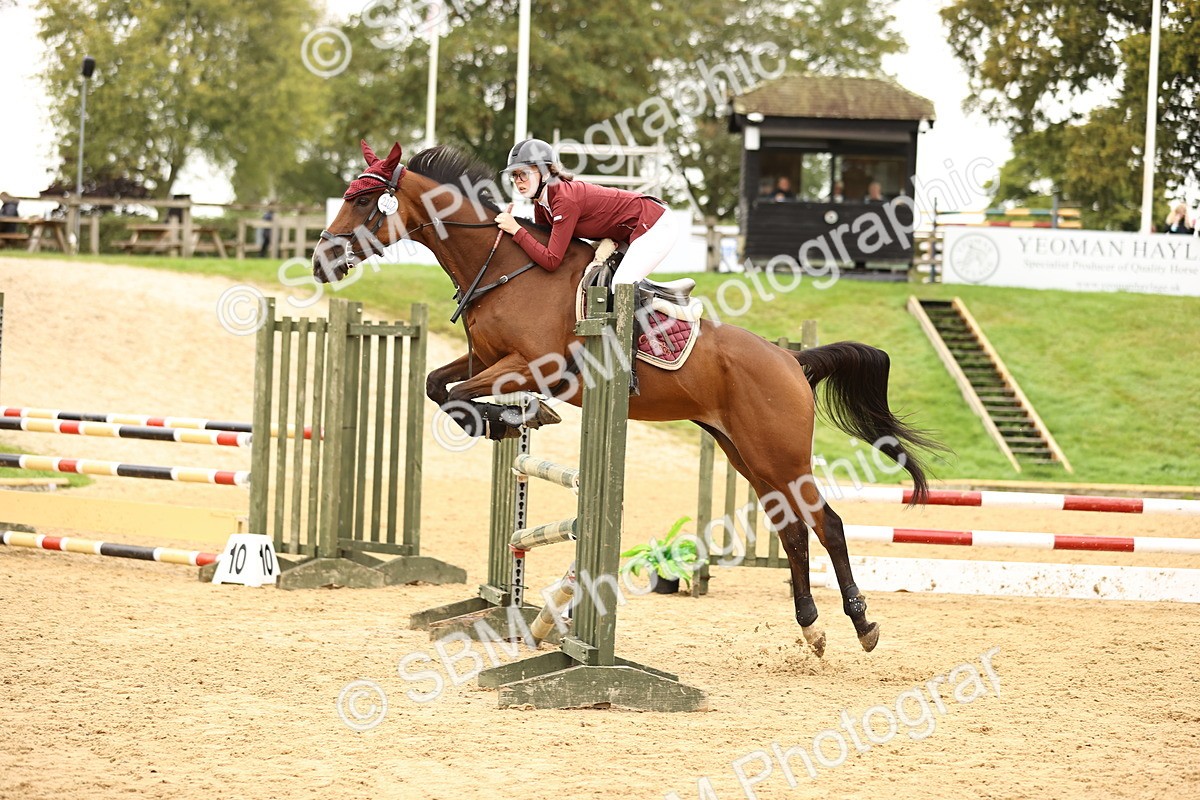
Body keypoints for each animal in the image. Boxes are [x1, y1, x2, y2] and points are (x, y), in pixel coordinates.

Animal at [313, 141, 943, 656]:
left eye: (363, 200)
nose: (321, 261)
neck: (508, 267)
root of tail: (791, 361)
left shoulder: (530, 366)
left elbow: (458, 396)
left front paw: (506, 419)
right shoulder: (484, 360)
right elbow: (436, 385)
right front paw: (503, 421)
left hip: (780, 453)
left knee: (828, 524)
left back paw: (862, 624)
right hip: (746, 453)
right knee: (792, 529)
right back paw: (811, 627)